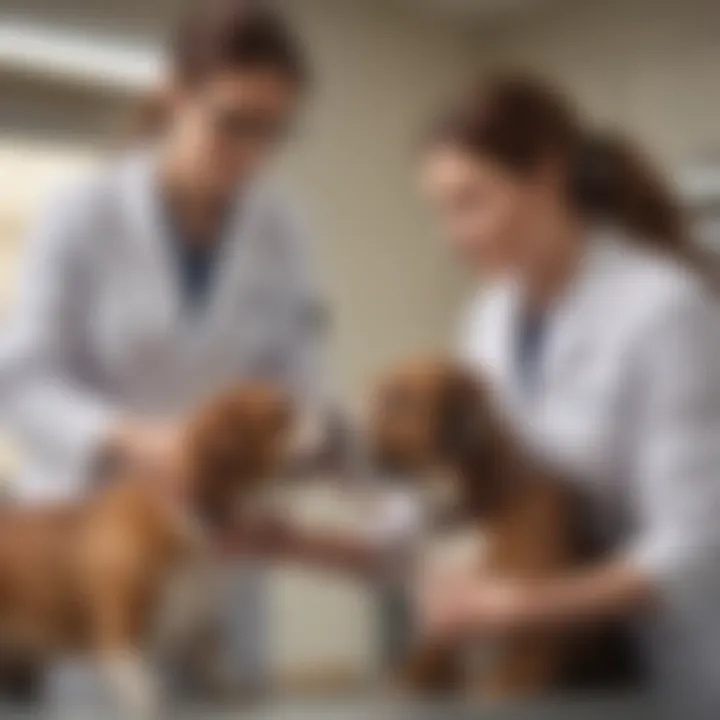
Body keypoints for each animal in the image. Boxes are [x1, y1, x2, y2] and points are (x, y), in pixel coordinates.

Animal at [0, 382, 292, 716]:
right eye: (282, 415)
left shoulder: (199, 615)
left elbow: (214, 659)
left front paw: (232, 692)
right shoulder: (121, 621)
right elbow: (140, 680)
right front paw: (153, 704)